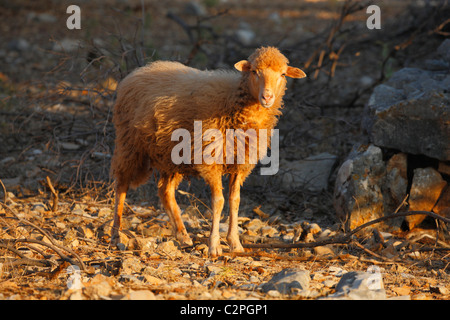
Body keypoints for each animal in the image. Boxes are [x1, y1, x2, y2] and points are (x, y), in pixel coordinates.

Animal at [110, 46, 306, 256]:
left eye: (283, 74)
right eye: (254, 71)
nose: (267, 97)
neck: (235, 101)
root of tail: (139, 70)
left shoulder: (241, 163)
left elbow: (235, 200)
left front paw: (235, 243)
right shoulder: (210, 159)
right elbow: (218, 201)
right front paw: (214, 245)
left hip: (171, 156)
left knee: (165, 191)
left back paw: (183, 235)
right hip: (129, 144)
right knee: (121, 186)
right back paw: (115, 234)